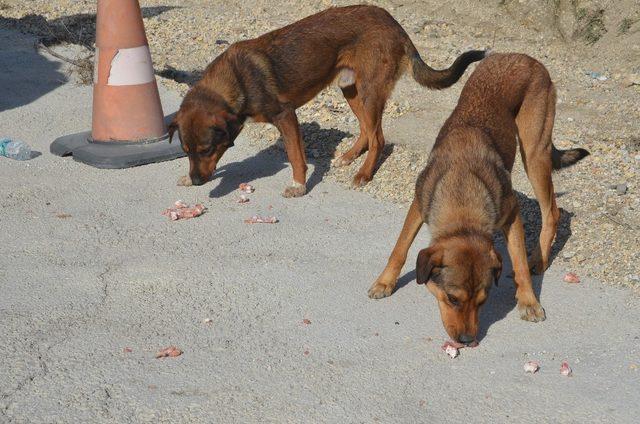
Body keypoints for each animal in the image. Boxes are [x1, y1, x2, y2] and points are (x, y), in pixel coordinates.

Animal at [168, 4, 482, 197]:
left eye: (207, 149)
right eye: (186, 151)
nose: (197, 181)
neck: (235, 79)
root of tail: (393, 22)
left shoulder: (286, 115)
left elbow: (296, 156)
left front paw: (298, 185)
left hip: (369, 91)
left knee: (378, 138)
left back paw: (363, 174)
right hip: (351, 89)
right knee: (368, 130)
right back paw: (348, 156)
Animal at [370, 53, 592, 344]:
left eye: (482, 301)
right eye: (452, 299)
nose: (467, 340)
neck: (463, 193)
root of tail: (526, 57)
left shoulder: (511, 213)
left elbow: (519, 262)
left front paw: (529, 301)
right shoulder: (419, 203)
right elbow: (400, 248)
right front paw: (385, 282)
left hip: (535, 153)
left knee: (552, 212)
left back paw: (538, 258)